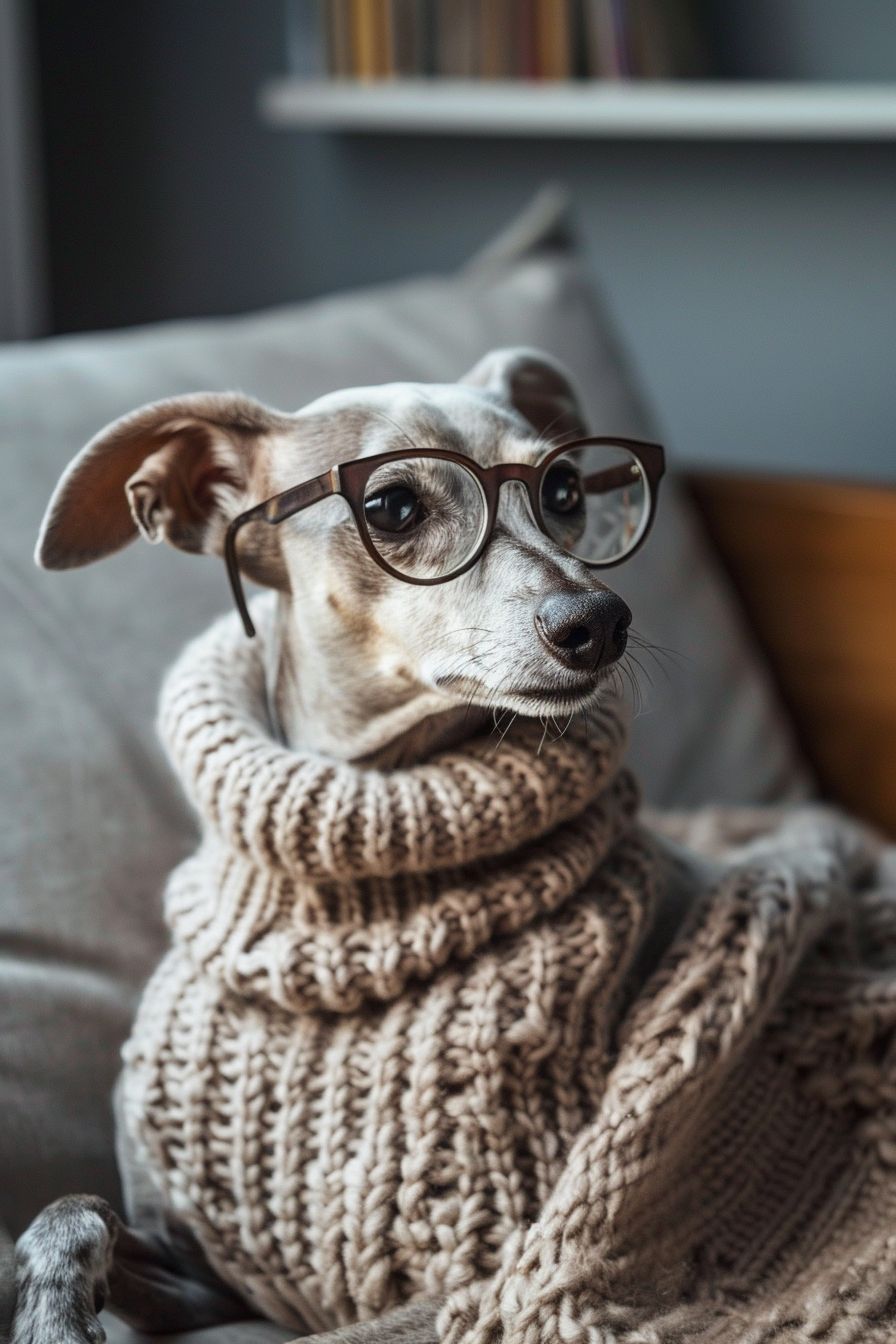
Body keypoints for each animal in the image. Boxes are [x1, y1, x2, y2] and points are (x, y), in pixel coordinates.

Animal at [14, 349, 698, 1344]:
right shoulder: (209, 1277)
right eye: (393, 507)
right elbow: (68, 1210)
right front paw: (51, 1312)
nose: (598, 621)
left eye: (565, 486)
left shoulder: (498, 1278)